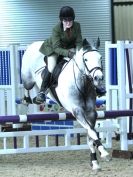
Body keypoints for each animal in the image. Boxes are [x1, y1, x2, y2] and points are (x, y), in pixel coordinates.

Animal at [21, 37, 110, 171]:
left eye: (100, 58)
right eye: (86, 59)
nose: (98, 78)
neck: (82, 83)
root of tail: (34, 44)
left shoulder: (91, 113)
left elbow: (91, 134)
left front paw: (95, 162)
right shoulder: (77, 111)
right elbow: (92, 131)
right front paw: (104, 153)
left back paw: (37, 98)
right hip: (28, 78)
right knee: (26, 85)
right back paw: (28, 99)